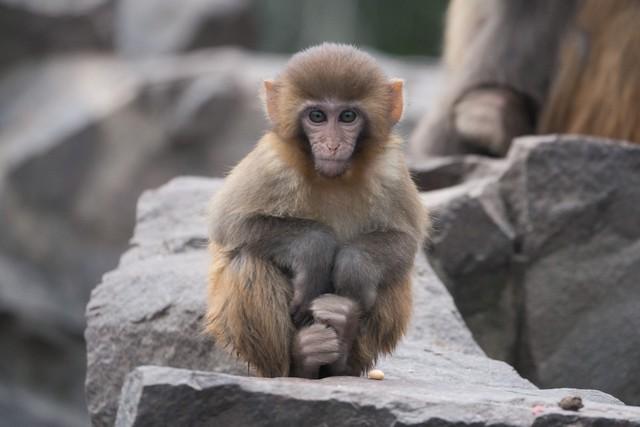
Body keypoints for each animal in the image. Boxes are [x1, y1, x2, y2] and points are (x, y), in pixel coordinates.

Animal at [205, 42, 428, 378]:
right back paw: (302, 361)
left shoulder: (389, 169)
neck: (332, 178)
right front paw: (314, 250)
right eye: (317, 116)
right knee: (246, 259)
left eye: (347, 116)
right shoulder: (272, 163)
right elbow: (229, 223)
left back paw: (342, 350)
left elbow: (406, 239)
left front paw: (354, 266)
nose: (332, 145)